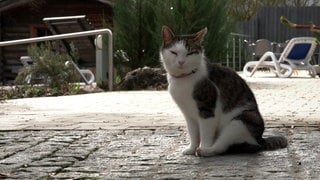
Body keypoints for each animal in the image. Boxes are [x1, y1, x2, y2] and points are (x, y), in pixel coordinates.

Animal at [160, 26, 288, 157]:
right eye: (173, 52)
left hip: (240, 121)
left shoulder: (208, 110)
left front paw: (203, 147)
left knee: (221, 147)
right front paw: (191, 149)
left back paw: (206, 151)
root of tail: (261, 140)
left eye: (189, 53)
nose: (181, 62)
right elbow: (193, 134)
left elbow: (205, 134)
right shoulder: (189, 115)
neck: (183, 80)